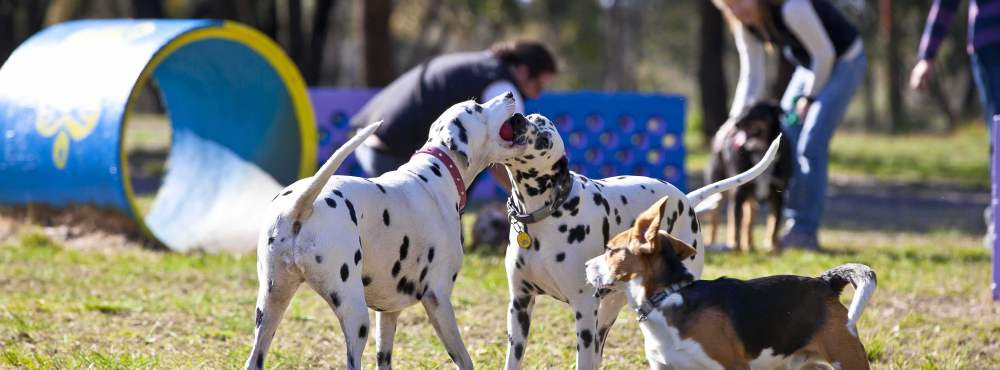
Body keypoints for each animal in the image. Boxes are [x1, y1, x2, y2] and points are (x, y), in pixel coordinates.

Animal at [246, 92, 536, 370]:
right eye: (476, 107)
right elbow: (464, 360)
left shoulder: (387, 313)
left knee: (254, 359)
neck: (437, 174)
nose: (510, 94)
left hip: (271, 306)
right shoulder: (438, 299)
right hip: (355, 316)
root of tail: (301, 205)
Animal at [498, 113, 780, 370]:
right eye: (532, 116)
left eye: (544, 138)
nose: (518, 118)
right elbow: (513, 358)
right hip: (606, 312)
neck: (544, 217)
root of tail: (686, 198)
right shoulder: (519, 304)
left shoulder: (584, 309)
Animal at [584, 199, 876, 370]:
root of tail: (825, 281)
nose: (586, 266)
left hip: (847, 359)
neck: (668, 296)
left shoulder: (733, 365)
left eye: (610, 250)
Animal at [704, 100, 788, 251]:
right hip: (718, 194)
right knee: (717, 218)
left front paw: (772, 247)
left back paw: (749, 244)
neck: (759, 149)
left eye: (755, 111)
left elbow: (774, 224)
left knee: (749, 220)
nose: (736, 123)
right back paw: (715, 241)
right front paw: (736, 248)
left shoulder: (778, 194)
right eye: (742, 110)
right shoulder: (739, 192)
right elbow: (736, 224)